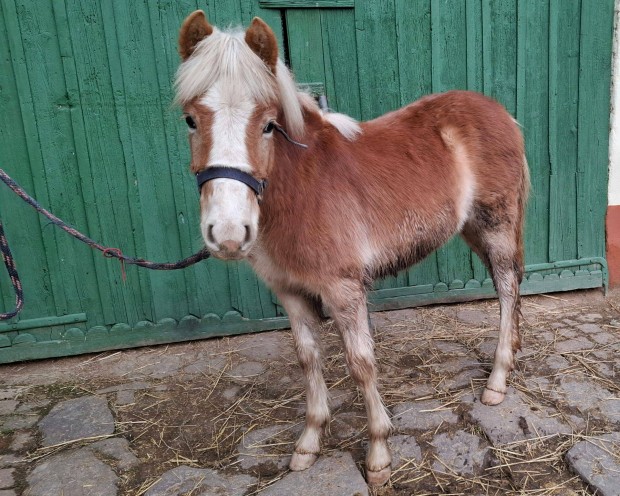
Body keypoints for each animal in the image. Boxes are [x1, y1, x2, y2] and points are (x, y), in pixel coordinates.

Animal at [175, 11, 529, 486]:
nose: (229, 232)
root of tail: (499, 111)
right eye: (191, 120)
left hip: (496, 224)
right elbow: (308, 360)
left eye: (267, 124)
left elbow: (361, 363)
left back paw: (497, 381)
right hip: (473, 228)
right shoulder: (290, 293)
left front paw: (379, 454)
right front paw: (308, 444)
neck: (301, 189)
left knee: (507, 288)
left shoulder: (344, 289)